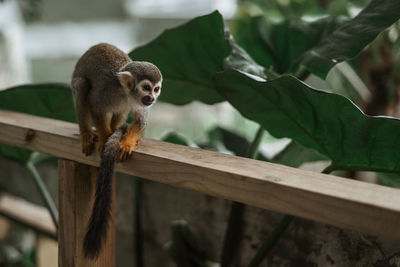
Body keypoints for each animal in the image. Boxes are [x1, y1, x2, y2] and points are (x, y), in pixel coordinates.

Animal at [70, 43, 162, 260]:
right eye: (146, 87)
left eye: (156, 89)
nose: (152, 98)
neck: (127, 94)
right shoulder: (107, 91)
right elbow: (95, 106)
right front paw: (105, 137)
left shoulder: (138, 104)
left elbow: (141, 120)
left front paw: (127, 142)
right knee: (82, 85)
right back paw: (88, 132)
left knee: (120, 110)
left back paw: (117, 129)